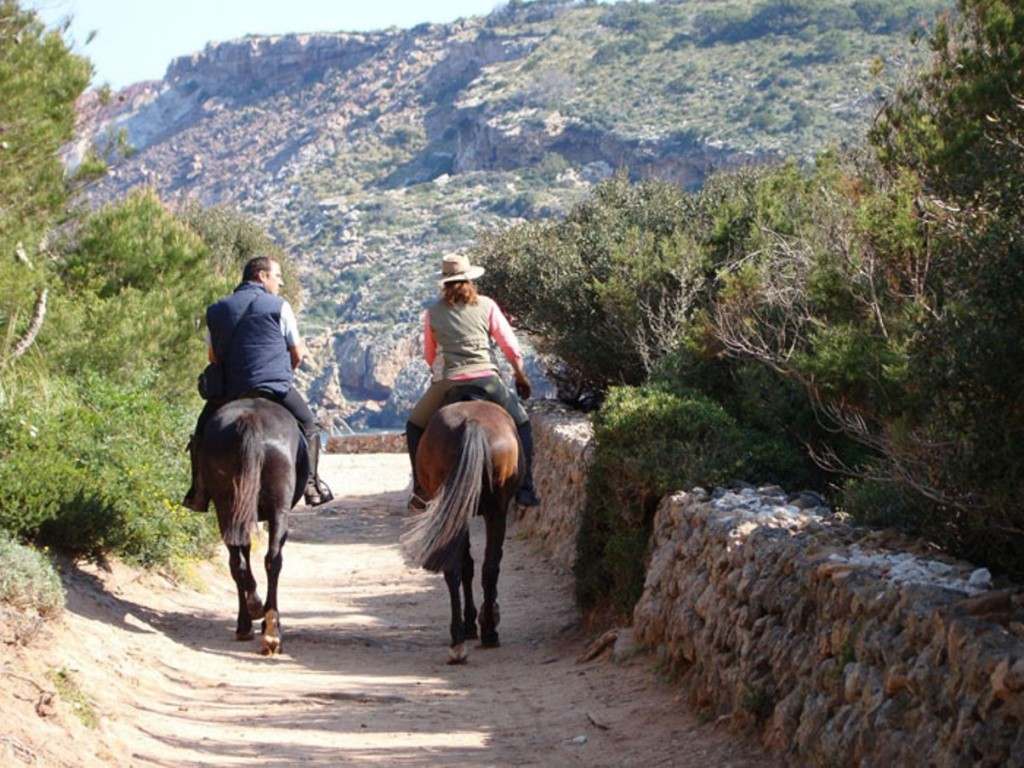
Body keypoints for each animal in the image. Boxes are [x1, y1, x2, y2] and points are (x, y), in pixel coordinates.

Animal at [403, 399, 524, 663]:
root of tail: (472, 423)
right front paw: (481, 619)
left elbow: (468, 566)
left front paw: (474, 621)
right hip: (493, 510)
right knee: (487, 567)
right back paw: (487, 631)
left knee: (461, 569)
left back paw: (459, 638)